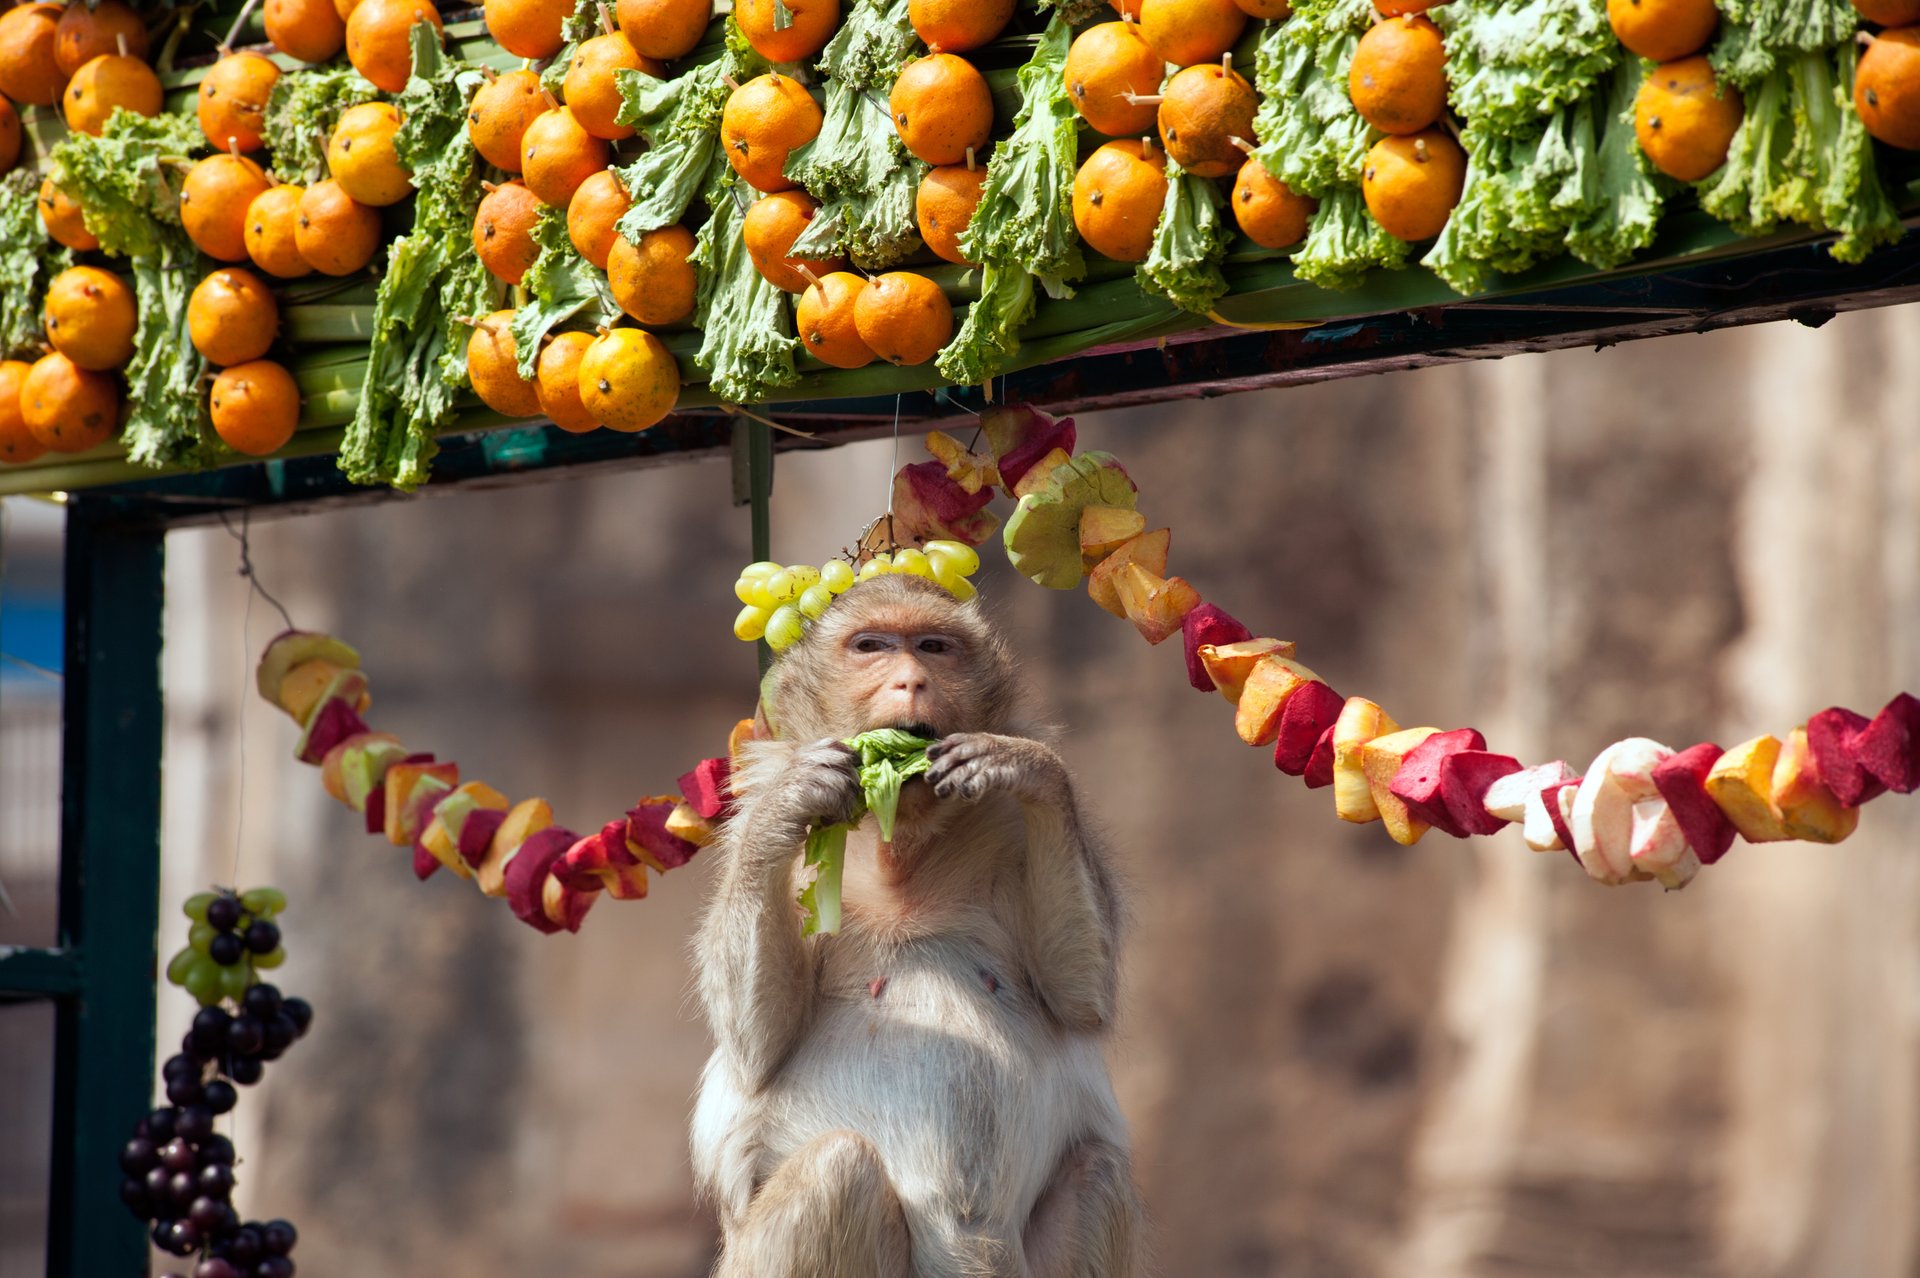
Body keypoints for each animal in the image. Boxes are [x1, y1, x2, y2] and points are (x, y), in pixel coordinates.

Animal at [690, 573, 1146, 1278]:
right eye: (871, 646)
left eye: (933, 646)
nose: (911, 681)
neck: (897, 851)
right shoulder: (766, 844)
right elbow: (755, 1045)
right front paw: (796, 796)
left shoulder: (1011, 833)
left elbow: (1080, 996)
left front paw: (1026, 766)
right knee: (838, 1167)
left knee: (1096, 1168)